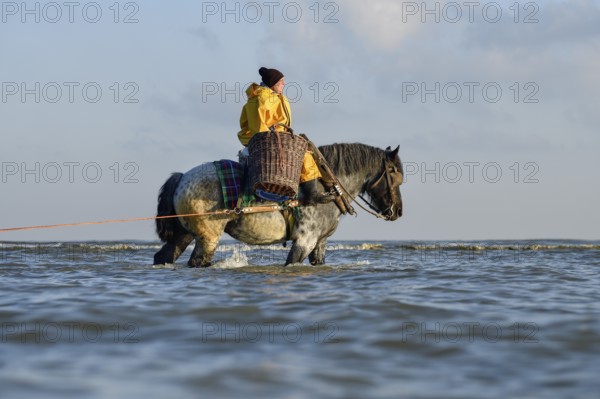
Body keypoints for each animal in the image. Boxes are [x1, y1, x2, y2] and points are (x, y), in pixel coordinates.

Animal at [151, 142, 404, 268]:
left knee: (164, 257)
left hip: (184, 234)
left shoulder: (319, 243)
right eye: (393, 172)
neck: (326, 186)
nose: (397, 211)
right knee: (197, 261)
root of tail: (182, 177)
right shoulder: (305, 240)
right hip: (208, 237)